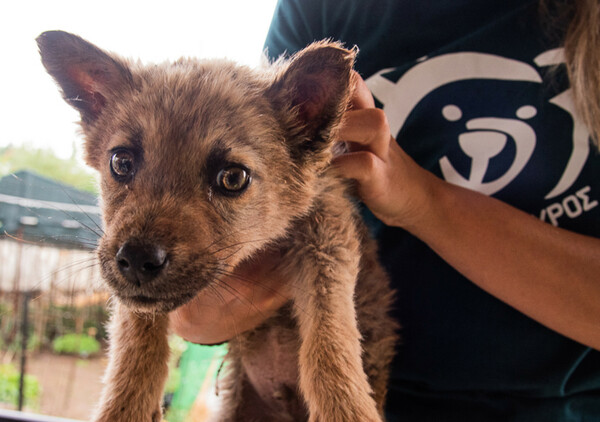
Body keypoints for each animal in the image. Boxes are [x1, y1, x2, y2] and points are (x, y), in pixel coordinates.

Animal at [39, 30, 400, 422]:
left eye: (233, 177)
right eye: (120, 162)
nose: (135, 260)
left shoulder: (328, 233)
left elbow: (329, 331)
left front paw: (346, 407)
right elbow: (134, 341)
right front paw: (125, 407)